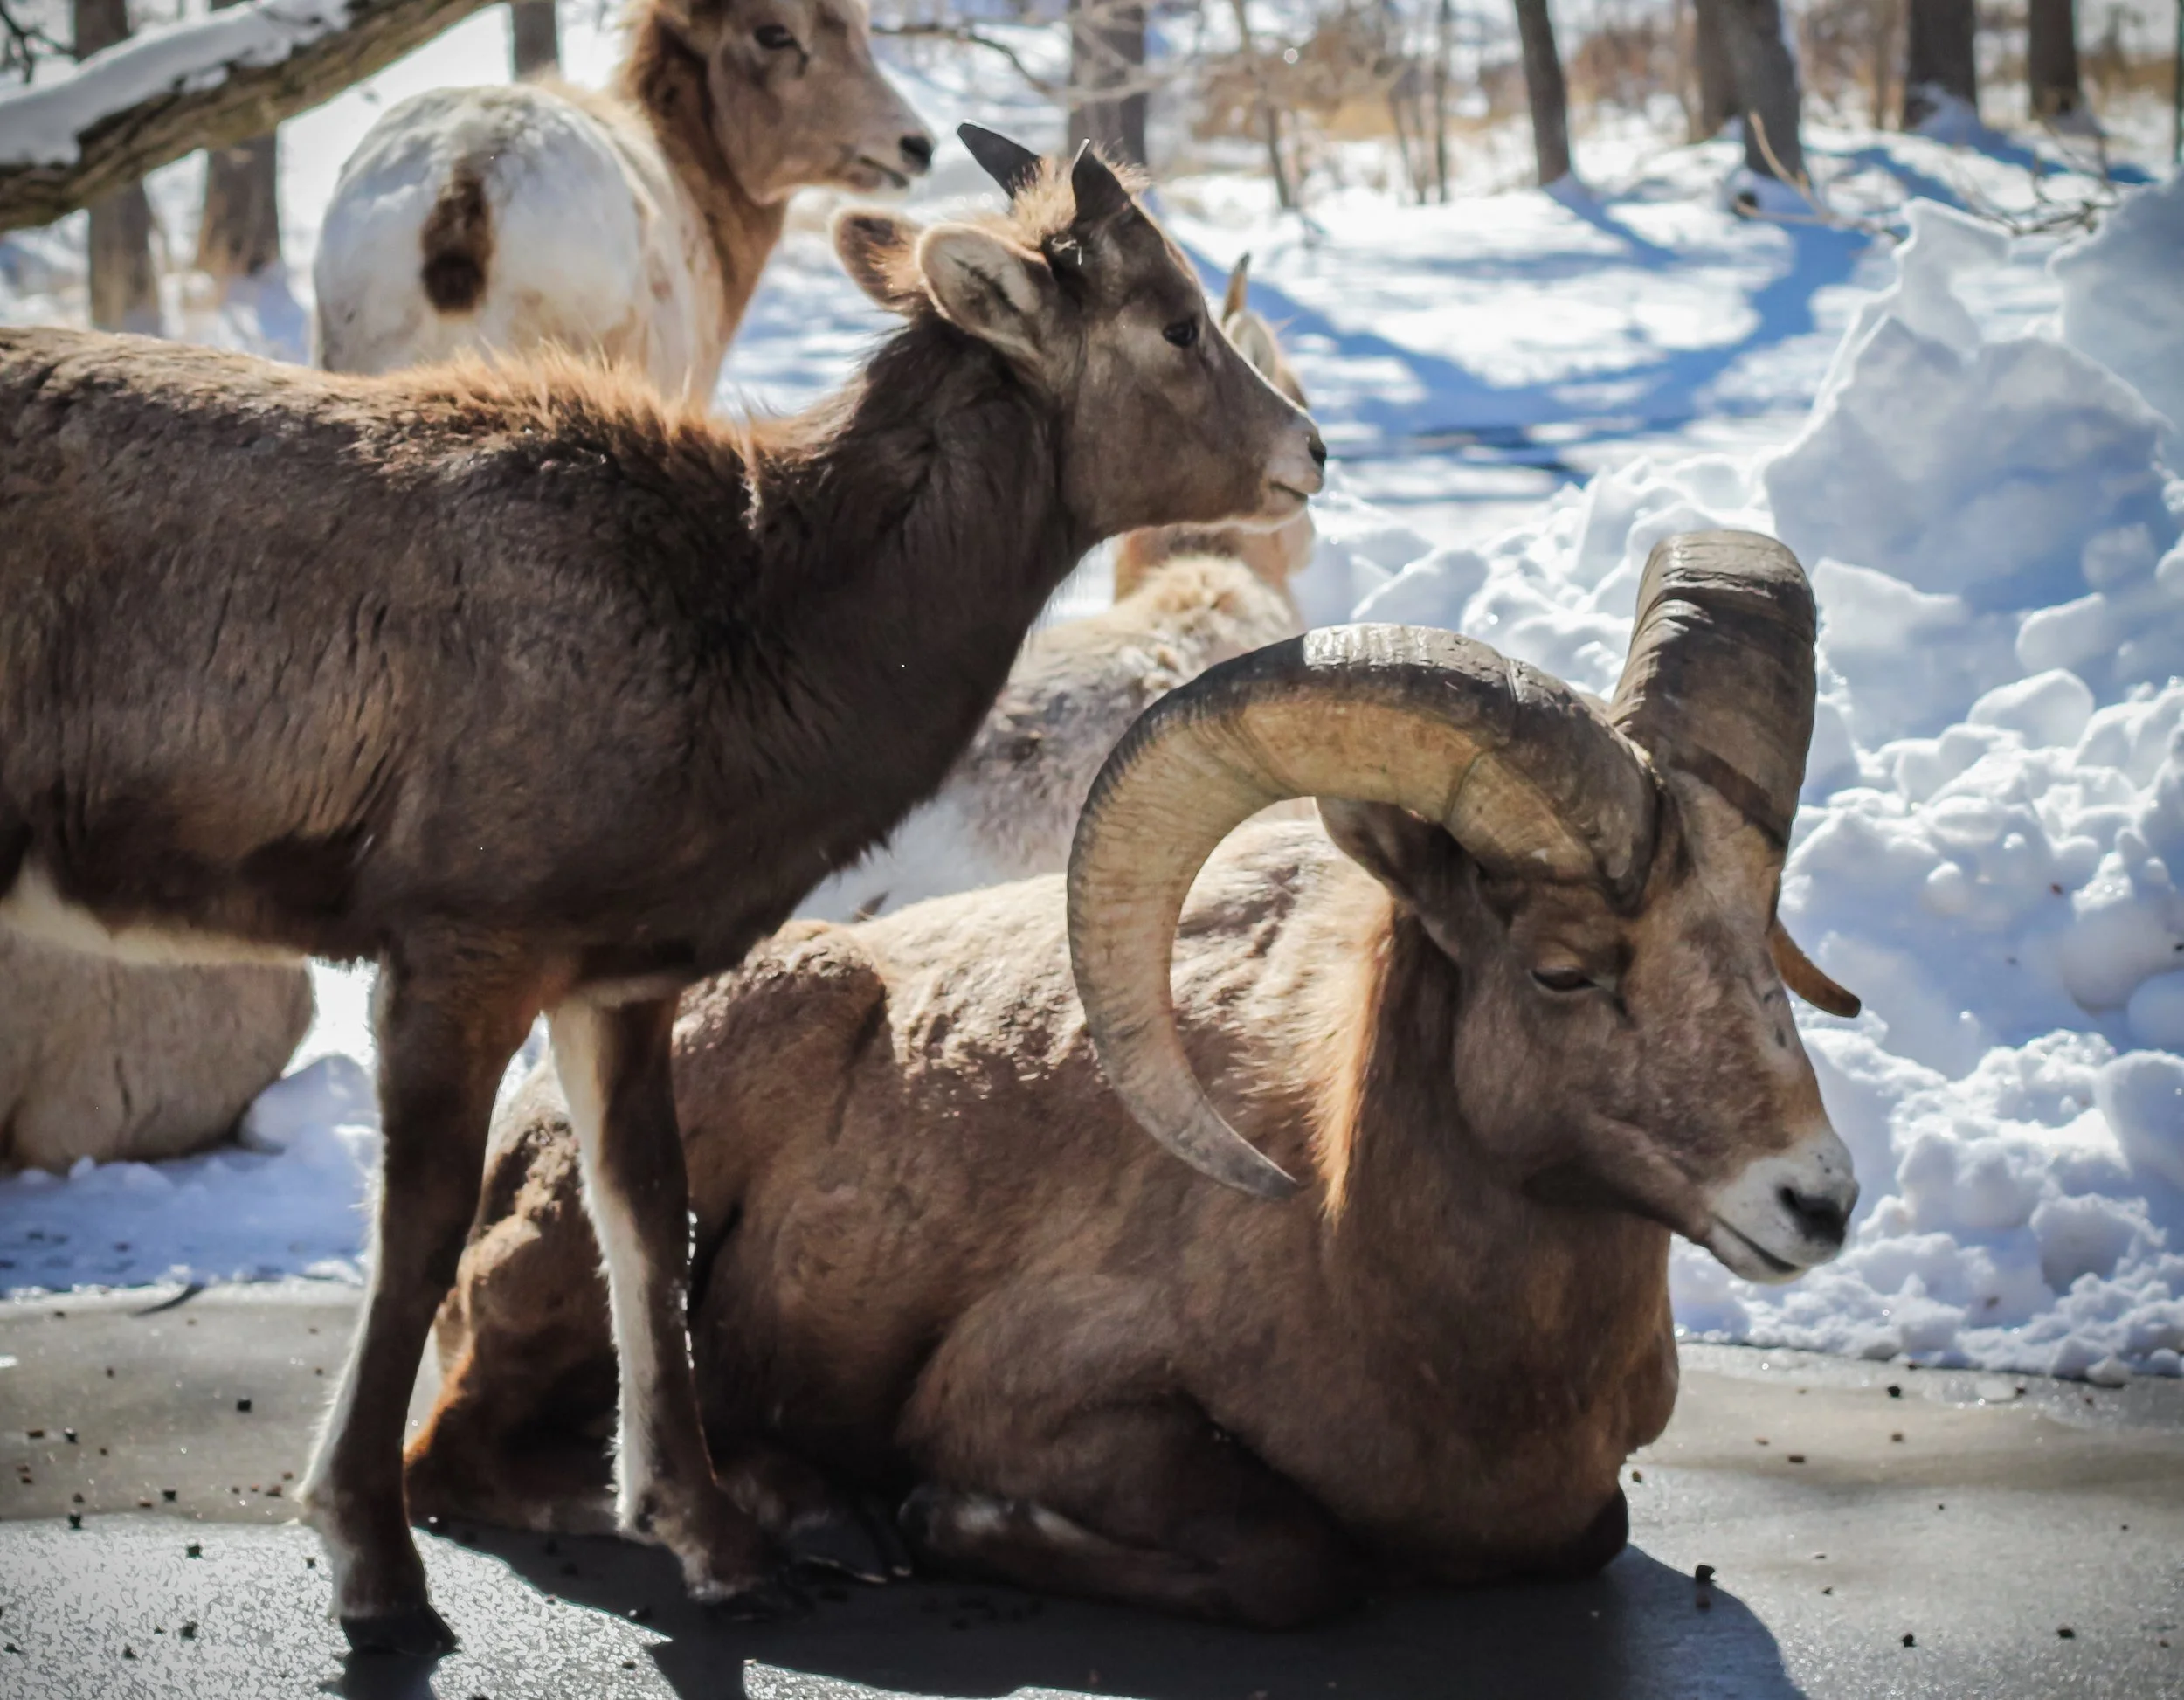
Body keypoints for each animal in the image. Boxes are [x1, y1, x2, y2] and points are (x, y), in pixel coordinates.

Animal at [403, 530, 1864, 1626]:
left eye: (1761, 938)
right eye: (1563, 970)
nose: (1818, 1201)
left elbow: (1591, 1531)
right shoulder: (1049, 1407)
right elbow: (1294, 1563)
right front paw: (941, 1518)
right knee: (462, 1456)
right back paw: (807, 1513)